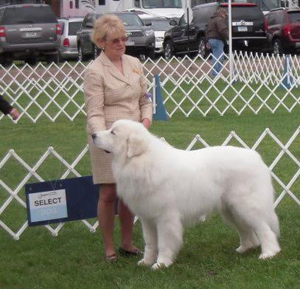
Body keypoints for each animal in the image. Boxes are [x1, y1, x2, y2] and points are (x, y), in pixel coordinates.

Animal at [92, 118, 282, 268]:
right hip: (231, 210)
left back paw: (268, 253)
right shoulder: (147, 218)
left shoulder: (165, 217)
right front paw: (146, 262)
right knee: (246, 230)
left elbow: (164, 243)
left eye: (113, 132)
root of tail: (255, 157)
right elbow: (150, 243)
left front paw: (161, 264)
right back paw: (244, 248)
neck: (140, 161)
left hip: (246, 206)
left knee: (265, 230)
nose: (93, 135)